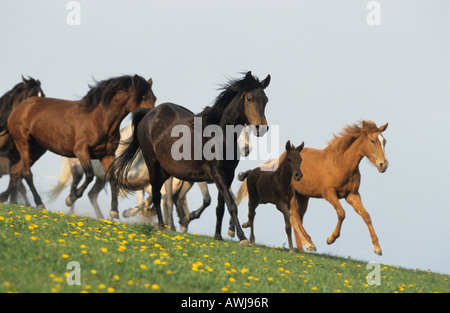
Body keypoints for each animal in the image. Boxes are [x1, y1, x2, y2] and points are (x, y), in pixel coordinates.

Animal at [0, 74, 156, 214]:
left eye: (154, 98)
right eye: (141, 97)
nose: (149, 118)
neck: (99, 119)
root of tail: (18, 109)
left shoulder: (107, 155)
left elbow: (112, 178)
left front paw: (114, 211)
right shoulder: (81, 151)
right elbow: (90, 175)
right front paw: (70, 199)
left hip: (36, 149)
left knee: (16, 171)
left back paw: (13, 202)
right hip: (23, 143)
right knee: (26, 173)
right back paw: (39, 204)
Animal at [110, 71, 268, 244]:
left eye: (265, 100)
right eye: (249, 98)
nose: (262, 128)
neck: (220, 137)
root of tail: (150, 113)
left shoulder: (228, 175)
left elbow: (221, 206)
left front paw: (218, 236)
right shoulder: (216, 173)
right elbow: (231, 205)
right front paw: (242, 237)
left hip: (166, 171)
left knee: (163, 197)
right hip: (153, 164)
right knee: (158, 195)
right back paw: (161, 226)